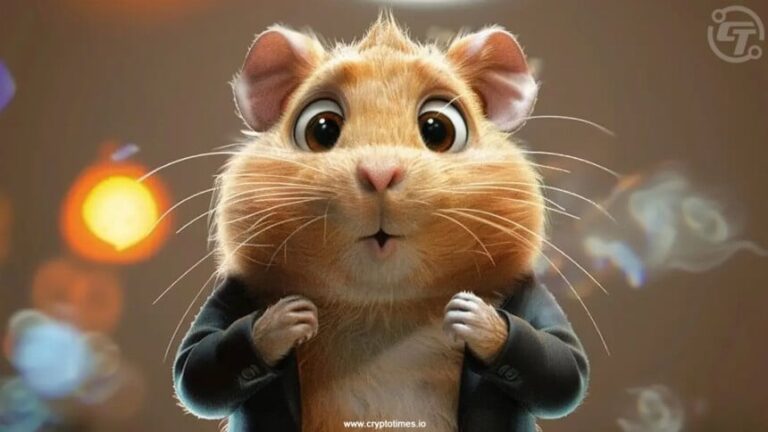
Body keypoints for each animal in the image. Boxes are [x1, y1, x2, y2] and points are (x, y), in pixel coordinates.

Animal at [174, 14, 588, 432]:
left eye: (438, 129)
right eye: (321, 129)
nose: (379, 173)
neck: (382, 305)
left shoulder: (532, 297)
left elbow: (564, 366)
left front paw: (472, 315)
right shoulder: (232, 296)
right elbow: (196, 367)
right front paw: (289, 317)